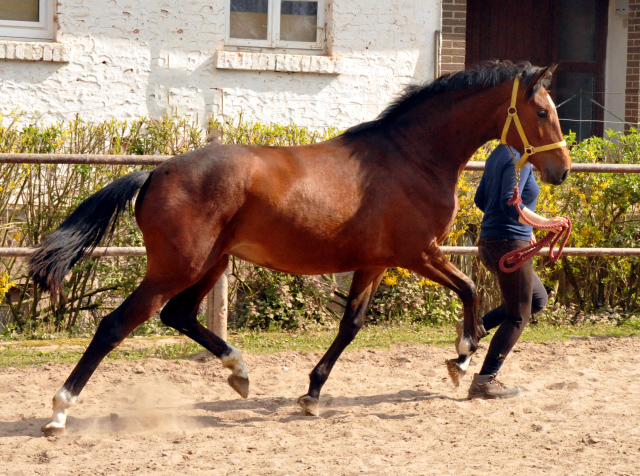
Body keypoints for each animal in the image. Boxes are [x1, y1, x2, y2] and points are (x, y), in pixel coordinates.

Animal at [28, 61, 568, 434]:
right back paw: (58, 413)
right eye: (542, 111)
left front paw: (311, 394)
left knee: (178, 315)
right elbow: (469, 290)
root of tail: (155, 173)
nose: (561, 170)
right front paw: (462, 358)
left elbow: (351, 326)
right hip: (176, 268)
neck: (412, 156)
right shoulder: (418, 253)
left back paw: (239, 372)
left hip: (211, 263)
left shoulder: (374, 263)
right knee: (115, 325)